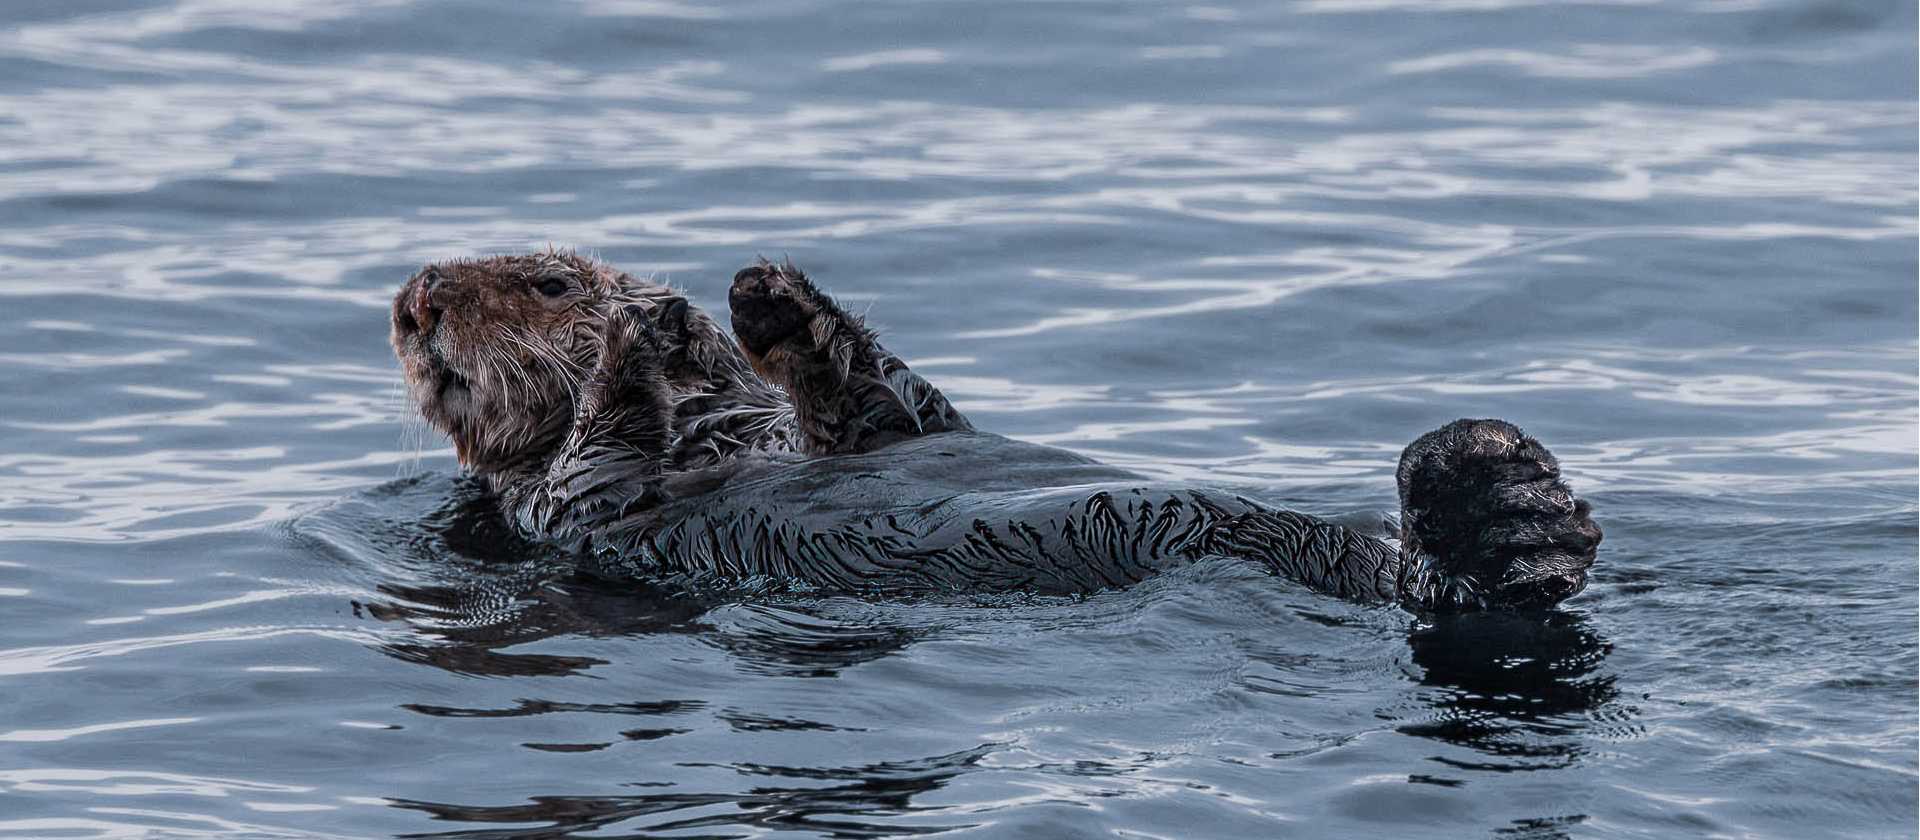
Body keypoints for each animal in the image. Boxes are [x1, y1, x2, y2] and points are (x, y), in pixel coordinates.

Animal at [390, 252, 1600, 611]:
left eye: (544, 281)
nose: (416, 304)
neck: (717, 427)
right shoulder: (561, 505)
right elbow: (595, 458)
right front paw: (638, 334)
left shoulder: (870, 424)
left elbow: (887, 400)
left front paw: (767, 301)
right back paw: (1507, 513)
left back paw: (1514, 495)